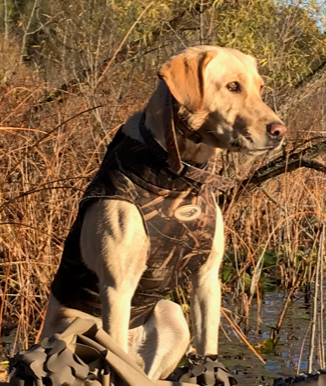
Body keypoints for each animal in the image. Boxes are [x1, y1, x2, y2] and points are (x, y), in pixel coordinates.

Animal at [42, 46, 286, 380]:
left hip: (172, 314)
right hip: (77, 326)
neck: (178, 179)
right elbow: (114, 363)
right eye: (233, 86)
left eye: (260, 88)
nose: (280, 132)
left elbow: (208, 346)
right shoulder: (117, 288)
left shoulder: (207, 277)